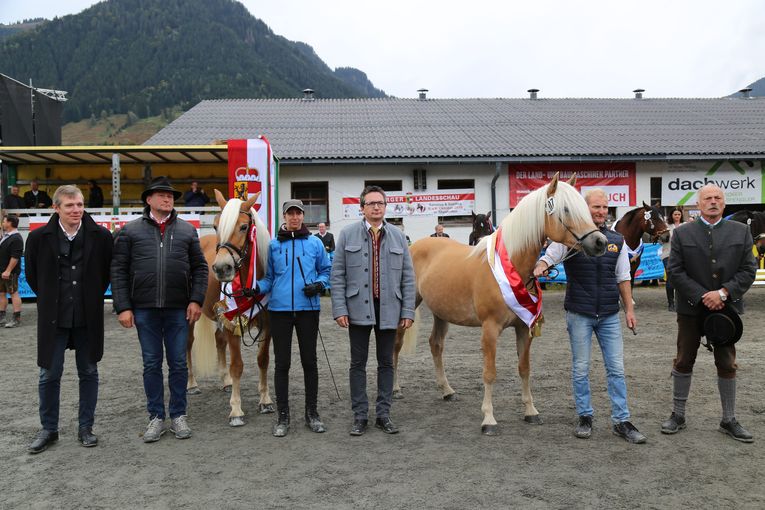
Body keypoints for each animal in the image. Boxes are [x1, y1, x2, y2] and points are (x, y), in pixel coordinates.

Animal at [186, 189, 274, 424]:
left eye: (244, 227)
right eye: (216, 225)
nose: (221, 268)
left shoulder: (267, 324)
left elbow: (263, 360)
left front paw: (265, 400)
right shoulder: (233, 322)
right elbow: (237, 366)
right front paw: (236, 409)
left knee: (219, 341)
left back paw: (224, 382)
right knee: (188, 344)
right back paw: (191, 384)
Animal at [394, 175, 604, 434]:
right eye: (565, 209)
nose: (600, 242)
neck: (511, 265)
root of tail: (413, 246)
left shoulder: (524, 328)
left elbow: (524, 368)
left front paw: (530, 411)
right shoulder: (490, 329)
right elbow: (490, 373)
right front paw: (488, 419)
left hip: (441, 313)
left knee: (436, 345)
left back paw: (447, 391)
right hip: (407, 310)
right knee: (396, 345)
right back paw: (395, 389)